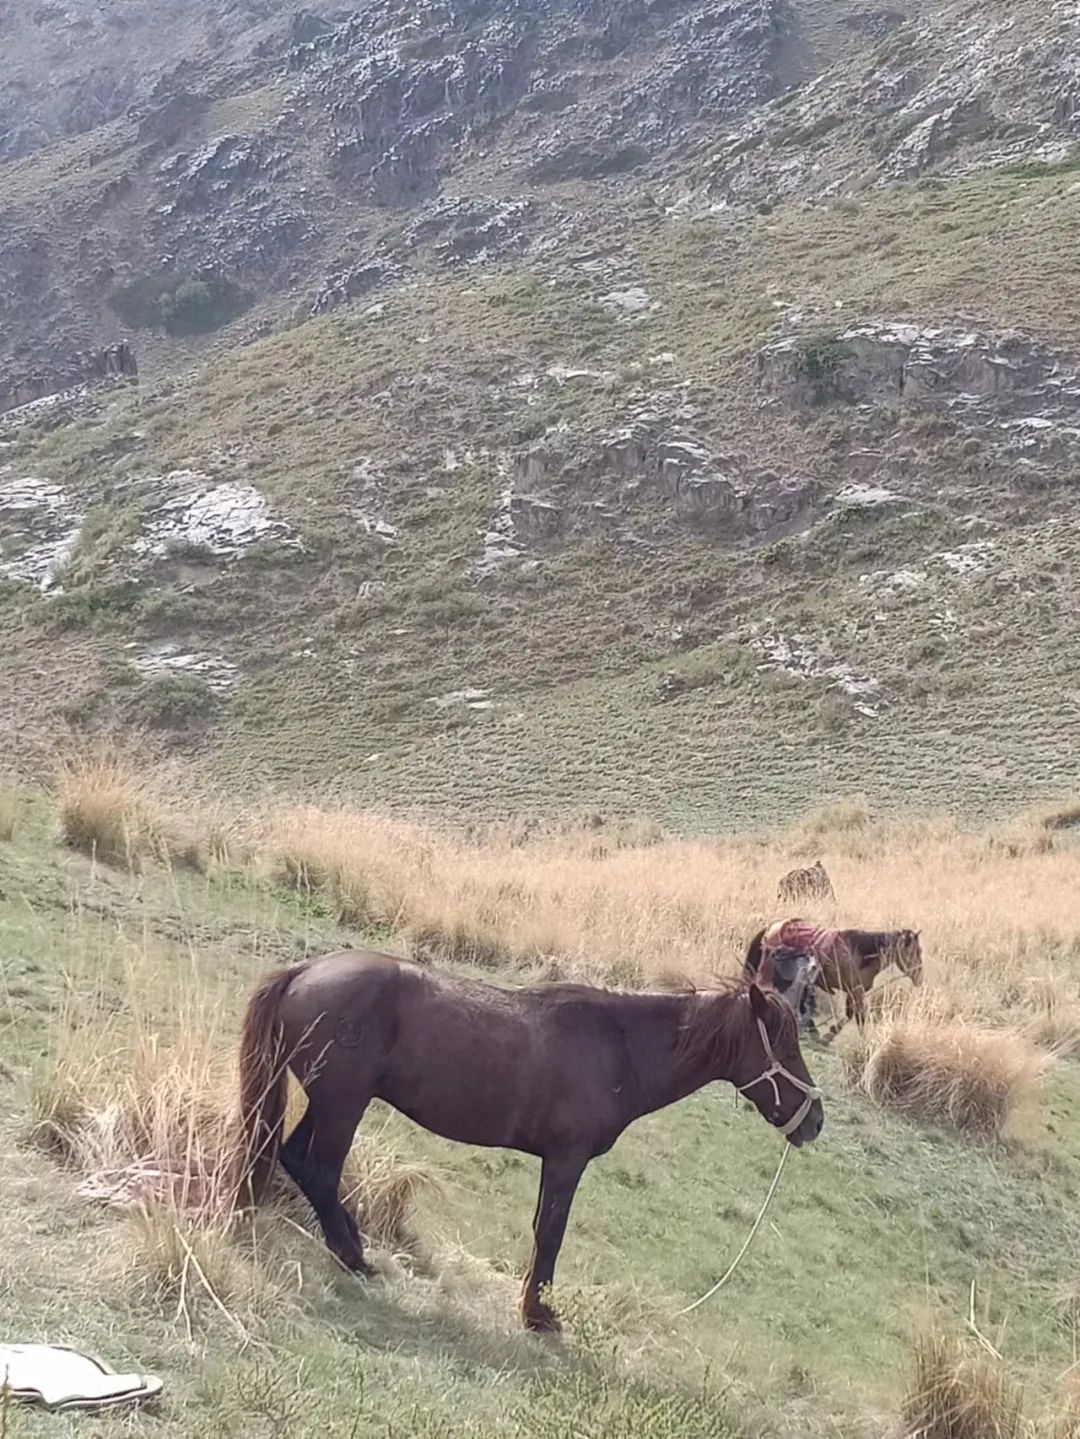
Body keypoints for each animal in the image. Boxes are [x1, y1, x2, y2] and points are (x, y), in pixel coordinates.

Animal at [235, 949, 822, 1329]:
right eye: (787, 1049)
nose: (815, 1121)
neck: (619, 1047)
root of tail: (305, 970)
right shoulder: (566, 1160)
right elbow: (551, 1233)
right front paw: (537, 1313)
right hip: (343, 1106)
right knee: (320, 1169)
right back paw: (354, 1255)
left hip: (329, 1104)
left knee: (295, 1159)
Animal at [747, 920, 926, 1036]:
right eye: (914, 952)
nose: (920, 978)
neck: (860, 953)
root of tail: (771, 928)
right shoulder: (856, 991)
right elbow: (859, 1016)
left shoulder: (853, 991)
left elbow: (850, 1014)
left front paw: (833, 1030)